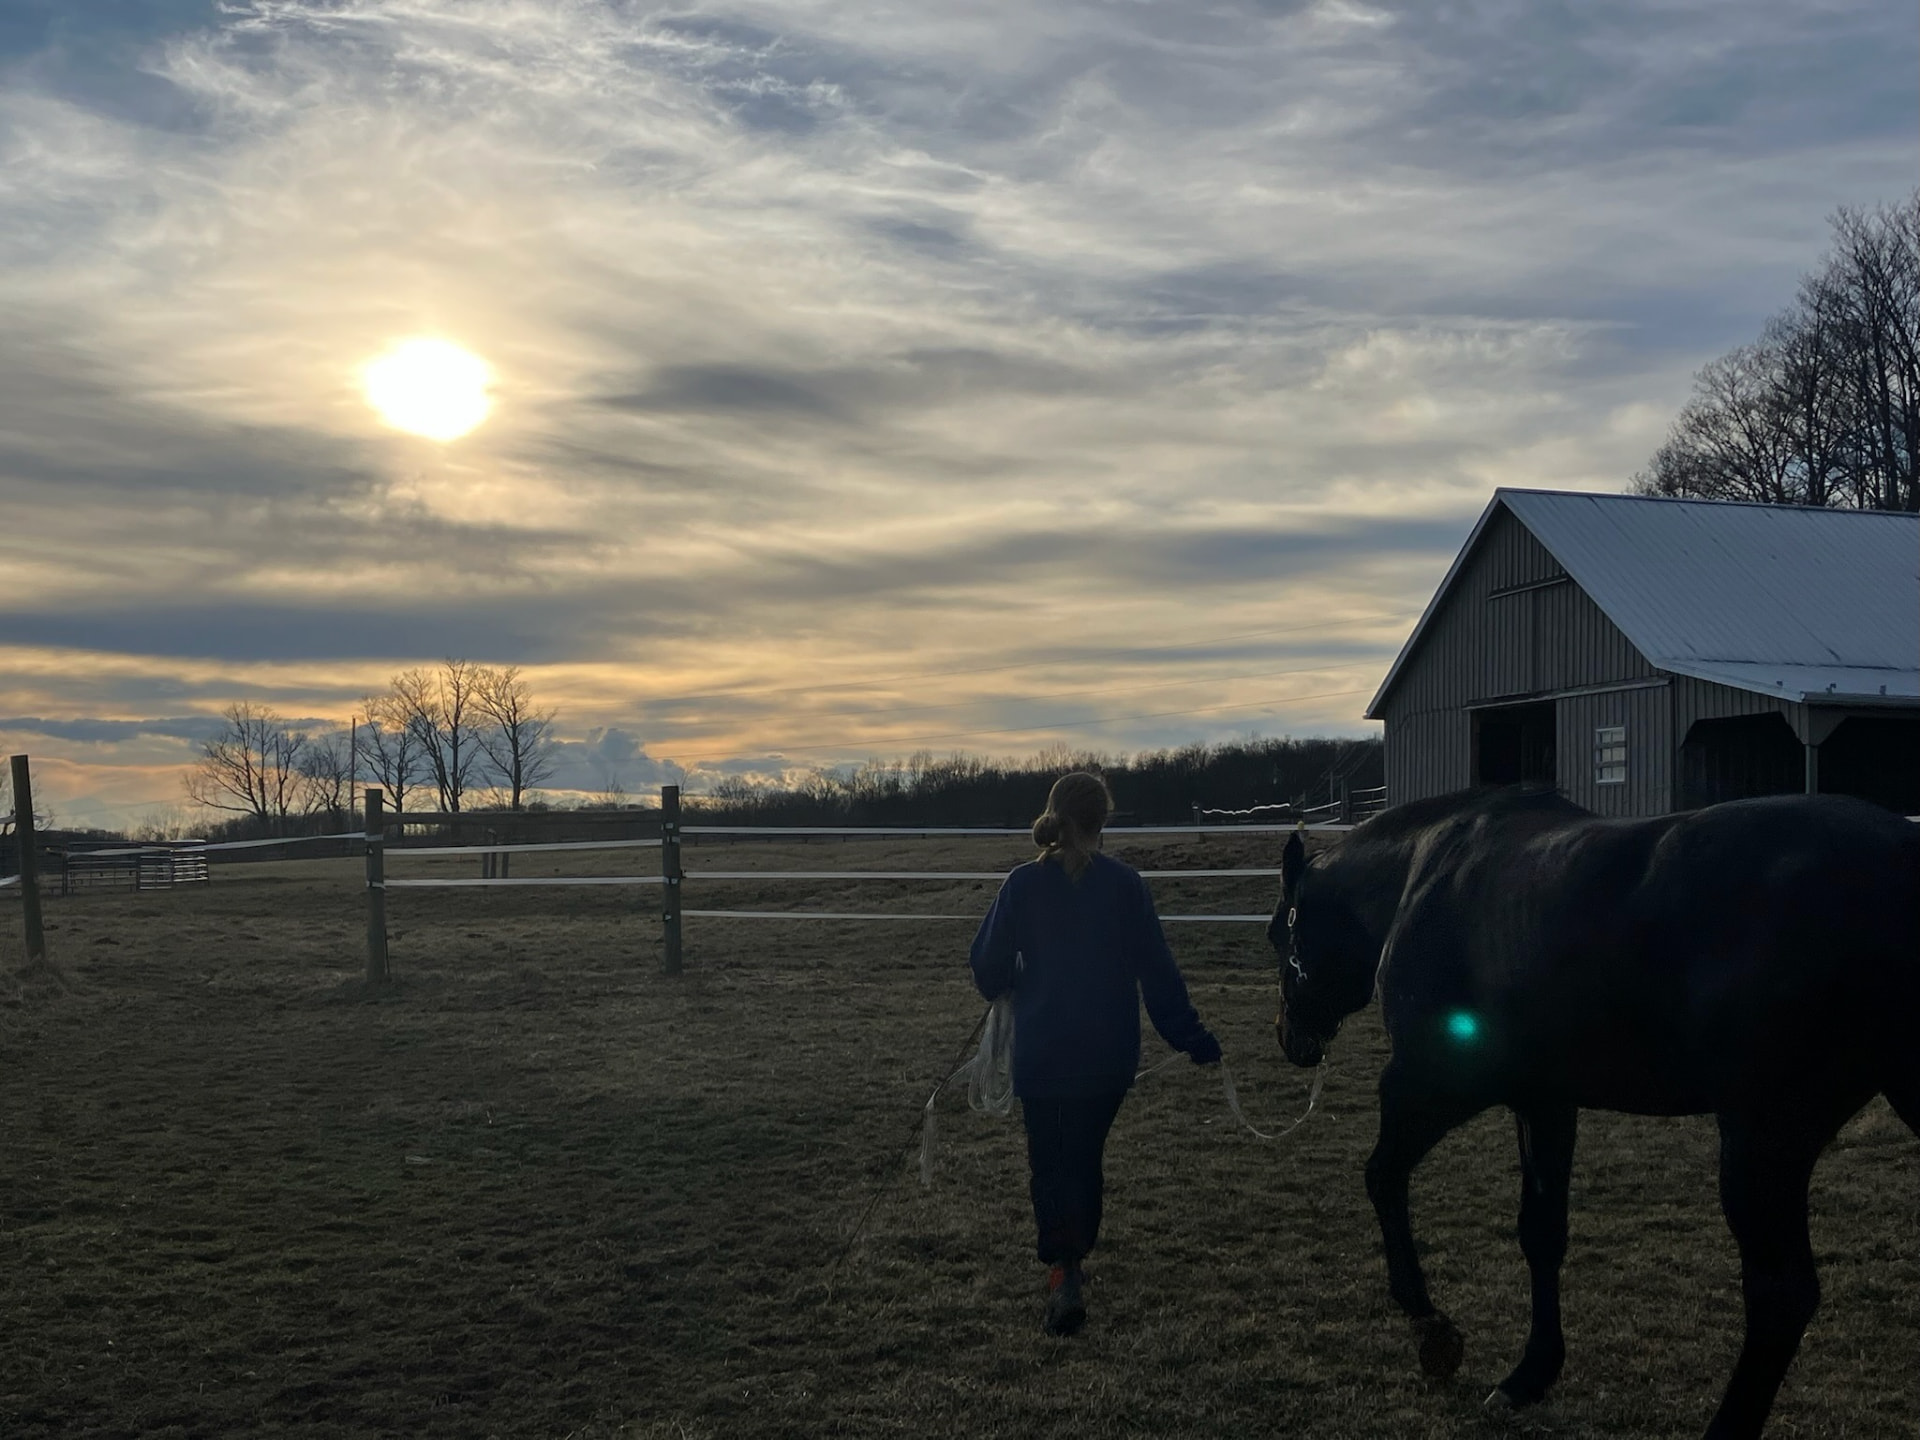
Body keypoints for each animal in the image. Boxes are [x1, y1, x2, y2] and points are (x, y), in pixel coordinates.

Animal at [1269, 787, 1920, 1440]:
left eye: (1280, 935)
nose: (1290, 1037)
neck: (1424, 876)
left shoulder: (1429, 1086)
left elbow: (1382, 1179)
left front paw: (1433, 1331)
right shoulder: (1544, 1102)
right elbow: (1541, 1234)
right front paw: (1531, 1372)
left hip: (1762, 1141)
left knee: (1781, 1294)